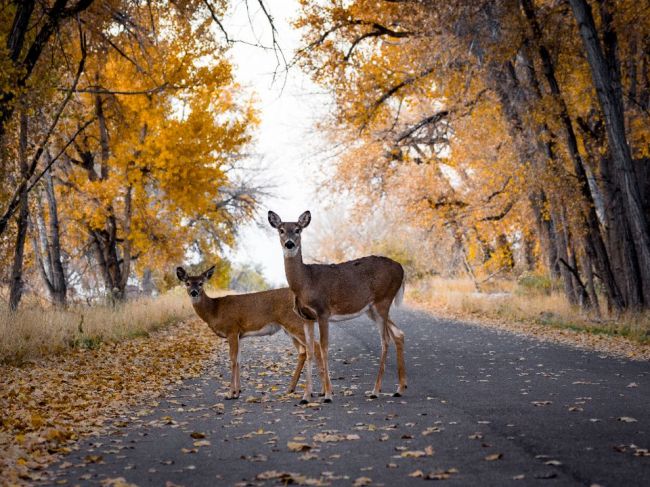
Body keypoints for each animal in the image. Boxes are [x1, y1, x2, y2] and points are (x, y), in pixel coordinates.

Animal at [176, 264, 322, 402]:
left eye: (201, 283)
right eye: (187, 283)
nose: (194, 292)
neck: (214, 310)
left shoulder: (232, 330)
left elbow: (233, 359)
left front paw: (230, 394)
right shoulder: (239, 335)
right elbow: (238, 360)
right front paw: (237, 392)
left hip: (295, 323)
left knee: (315, 346)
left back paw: (319, 392)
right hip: (289, 329)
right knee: (303, 351)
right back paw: (291, 389)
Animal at [266, 211, 402, 404]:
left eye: (298, 230)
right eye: (281, 230)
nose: (289, 244)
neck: (306, 282)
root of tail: (401, 268)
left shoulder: (323, 312)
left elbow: (323, 347)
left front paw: (328, 395)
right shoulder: (306, 317)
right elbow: (309, 350)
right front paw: (305, 396)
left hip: (383, 301)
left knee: (385, 340)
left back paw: (375, 391)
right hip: (372, 309)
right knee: (398, 334)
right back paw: (399, 389)